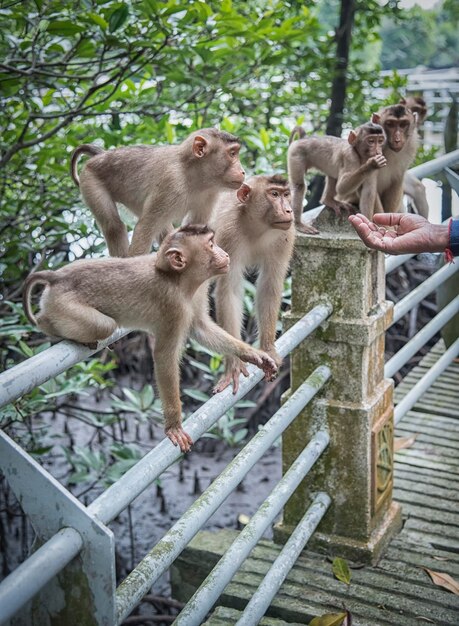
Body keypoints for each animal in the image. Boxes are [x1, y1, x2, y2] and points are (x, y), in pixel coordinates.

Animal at [22, 224, 276, 448]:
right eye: (212, 244)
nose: (225, 253)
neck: (179, 280)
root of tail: (58, 276)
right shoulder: (174, 307)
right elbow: (164, 356)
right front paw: (174, 426)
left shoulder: (196, 294)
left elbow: (202, 329)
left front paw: (254, 355)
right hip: (63, 304)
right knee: (103, 325)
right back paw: (47, 325)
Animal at [70, 129, 246, 256]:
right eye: (232, 154)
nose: (243, 171)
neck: (192, 174)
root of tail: (101, 156)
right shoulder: (171, 183)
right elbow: (144, 229)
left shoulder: (211, 193)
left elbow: (194, 231)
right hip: (90, 180)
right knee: (114, 227)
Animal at [209, 173, 294, 392]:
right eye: (274, 194)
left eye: (286, 195)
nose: (289, 210)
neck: (258, 226)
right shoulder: (229, 232)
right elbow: (229, 290)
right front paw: (234, 364)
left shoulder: (286, 235)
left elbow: (269, 286)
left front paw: (268, 349)